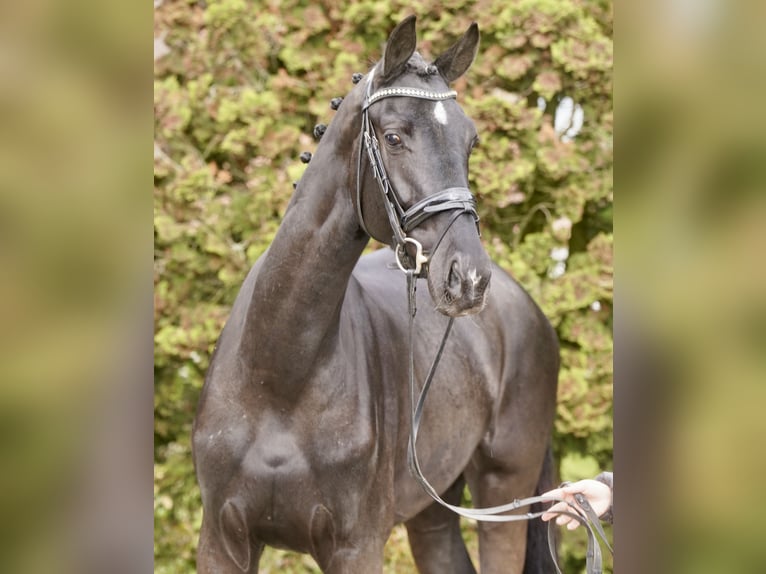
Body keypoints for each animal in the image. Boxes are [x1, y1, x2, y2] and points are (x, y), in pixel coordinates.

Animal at [195, 15, 560, 572]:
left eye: (470, 142)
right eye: (393, 137)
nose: (470, 278)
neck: (277, 377)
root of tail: (526, 308)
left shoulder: (357, 545)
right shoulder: (222, 542)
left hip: (504, 494)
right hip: (433, 510)